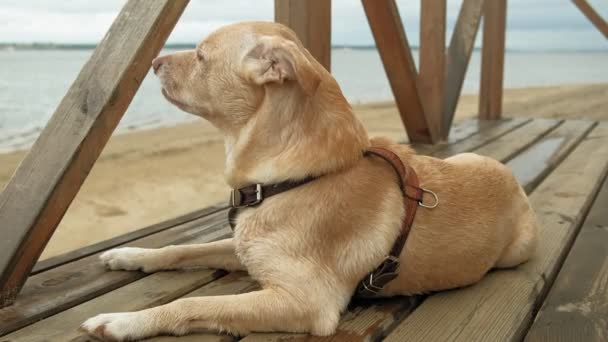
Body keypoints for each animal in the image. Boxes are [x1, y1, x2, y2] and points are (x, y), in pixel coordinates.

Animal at [79, 22, 536, 342]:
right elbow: (184, 249)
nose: (153, 62)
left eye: (202, 55)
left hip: (515, 252)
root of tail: (515, 184)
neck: (290, 178)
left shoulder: (305, 302)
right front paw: (130, 255)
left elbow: (195, 302)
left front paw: (125, 320)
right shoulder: (244, 248)